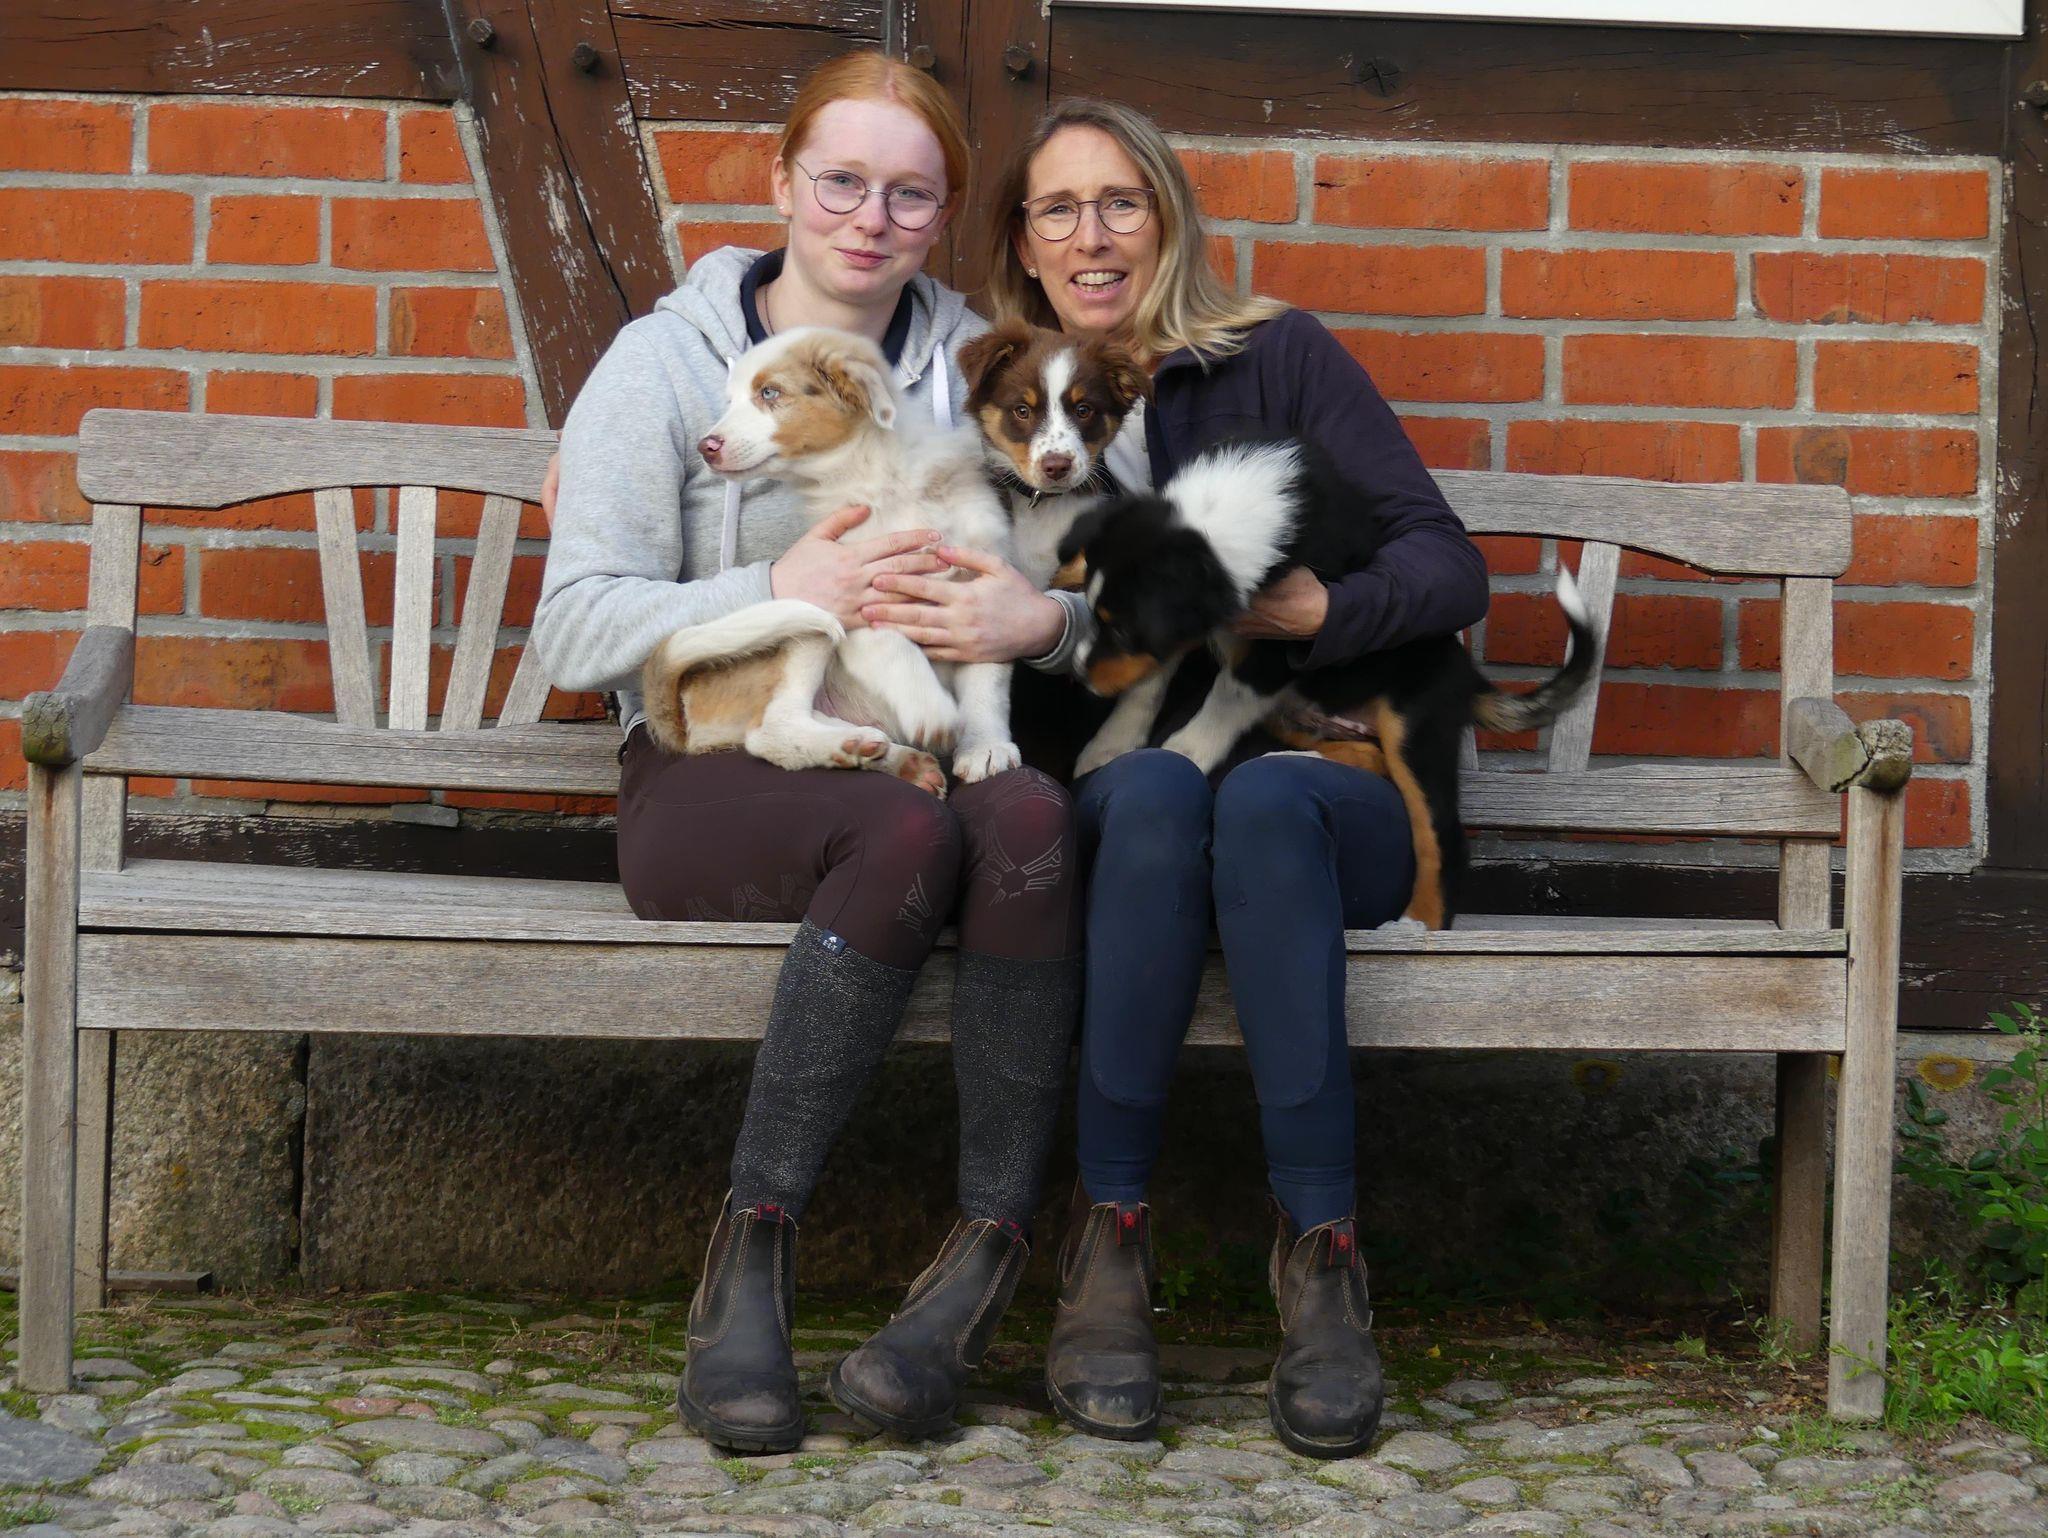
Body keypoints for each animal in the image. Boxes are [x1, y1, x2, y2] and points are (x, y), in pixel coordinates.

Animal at [639, 326, 1021, 794]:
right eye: (731, 399)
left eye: (769, 392)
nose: (705, 447)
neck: (877, 479)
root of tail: (684, 705)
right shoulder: (856, 594)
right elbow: (896, 650)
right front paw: (932, 711)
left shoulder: (982, 590)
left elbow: (988, 680)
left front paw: (986, 746)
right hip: (805, 628)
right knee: (769, 730)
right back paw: (852, 746)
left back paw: (881, 754)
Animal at [1054, 438, 1599, 929]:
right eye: (1098, 618)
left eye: (1121, 629)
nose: (1078, 673)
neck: (1214, 523)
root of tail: (1467, 677)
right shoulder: (1190, 629)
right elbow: (1146, 682)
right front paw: (1108, 746)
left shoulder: (1277, 644)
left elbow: (1224, 698)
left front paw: (1183, 752)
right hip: (1307, 712)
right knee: (1364, 756)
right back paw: (1292, 758)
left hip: (1413, 724)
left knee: (1439, 832)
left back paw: (1419, 921)